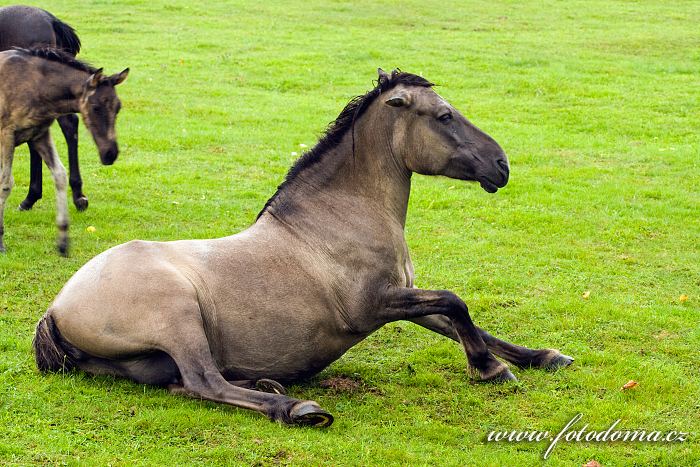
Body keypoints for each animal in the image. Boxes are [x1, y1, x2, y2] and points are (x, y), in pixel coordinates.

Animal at [0, 48, 127, 256]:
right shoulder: (7, 135)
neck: (38, 88)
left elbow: (60, 175)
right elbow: (5, 184)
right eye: (95, 107)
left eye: (118, 107)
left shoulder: (39, 135)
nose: (110, 154)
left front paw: (63, 241)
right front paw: (1, 242)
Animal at [32, 69, 572, 428]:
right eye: (443, 115)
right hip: (179, 316)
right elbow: (457, 303)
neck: (335, 219)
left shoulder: (404, 298)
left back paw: (269, 386)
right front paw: (490, 370)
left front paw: (541, 356)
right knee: (205, 381)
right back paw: (296, 407)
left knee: (188, 384)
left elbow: (466, 322)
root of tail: (56, 308)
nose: (501, 165)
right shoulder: (376, 305)